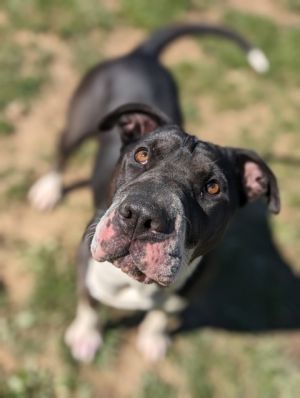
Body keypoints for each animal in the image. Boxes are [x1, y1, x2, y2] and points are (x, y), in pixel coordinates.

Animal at [27, 23, 278, 362]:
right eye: (142, 155)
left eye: (213, 188)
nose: (141, 216)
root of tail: (141, 55)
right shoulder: (85, 264)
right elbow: (89, 304)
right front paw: (85, 336)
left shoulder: (186, 293)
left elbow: (162, 314)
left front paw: (153, 337)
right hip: (81, 121)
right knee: (62, 149)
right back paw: (49, 189)